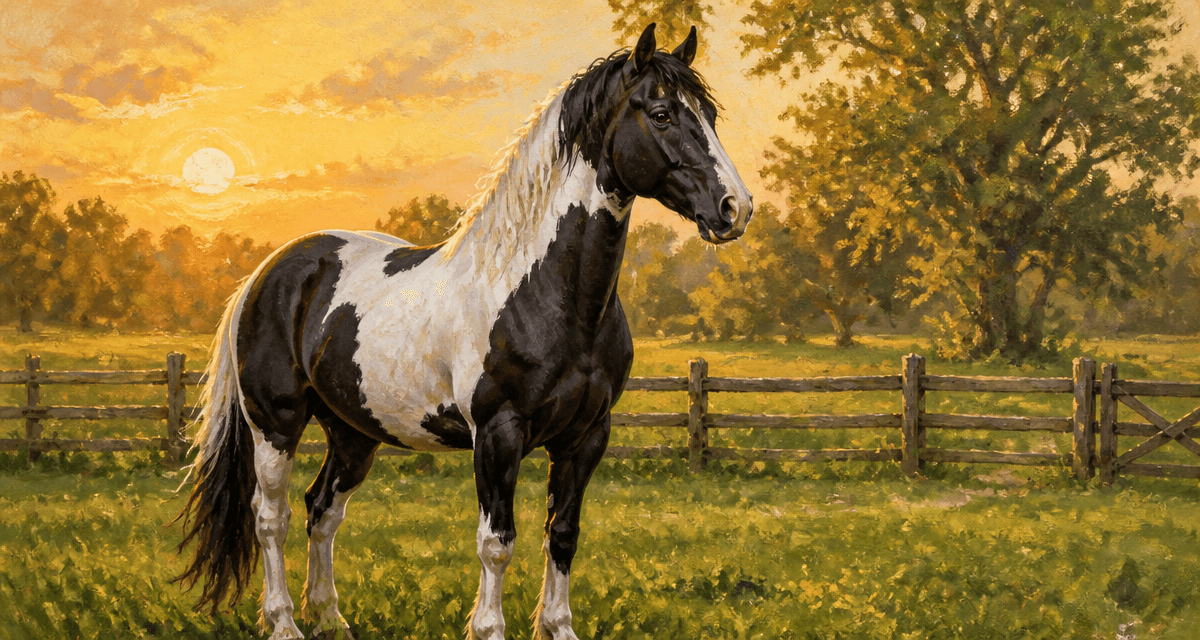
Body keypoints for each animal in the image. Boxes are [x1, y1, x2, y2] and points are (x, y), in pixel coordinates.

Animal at [175, 23, 753, 640]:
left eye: (710, 114)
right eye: (663, 113)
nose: (735, 208)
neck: (544, 295)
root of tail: (265, 275)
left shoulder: (586, 437)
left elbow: (563, 535)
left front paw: (558, 626)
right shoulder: (498, 434)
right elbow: (496, 544)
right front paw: (488, 627)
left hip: (353, 431)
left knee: (322, 511)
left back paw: (330, 617)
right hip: (276, 424)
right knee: (271, 517)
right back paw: (284, 621)